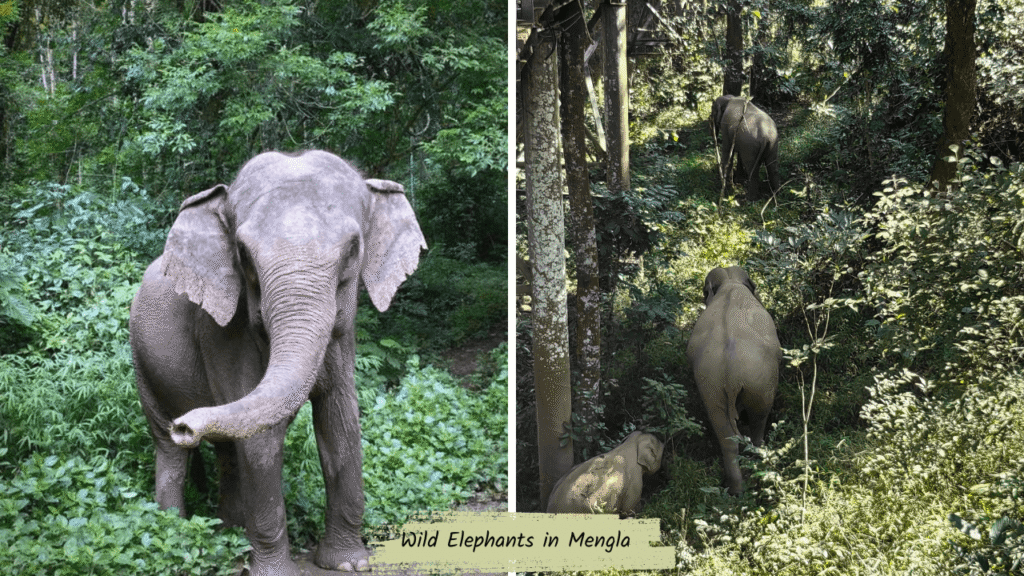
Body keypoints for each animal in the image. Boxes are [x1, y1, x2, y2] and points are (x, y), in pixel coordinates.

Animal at [129, 150, 426, 576]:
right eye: (243, 254)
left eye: (354, 249)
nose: (186, 425)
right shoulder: (220, 331)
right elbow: (261, 442)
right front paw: (275, 571)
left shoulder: (343, 339)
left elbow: (341, 421)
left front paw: (348, 563)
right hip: (140, 360)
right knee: (170, 450)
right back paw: (179, 531)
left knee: (226, 450)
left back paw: (229, 534)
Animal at [686, 267, 780, 495]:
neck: (730, 283)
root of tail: (730, 375)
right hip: (761, 383)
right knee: (758, 421)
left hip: (711, 386)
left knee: (726, 437)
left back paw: (736, 489)